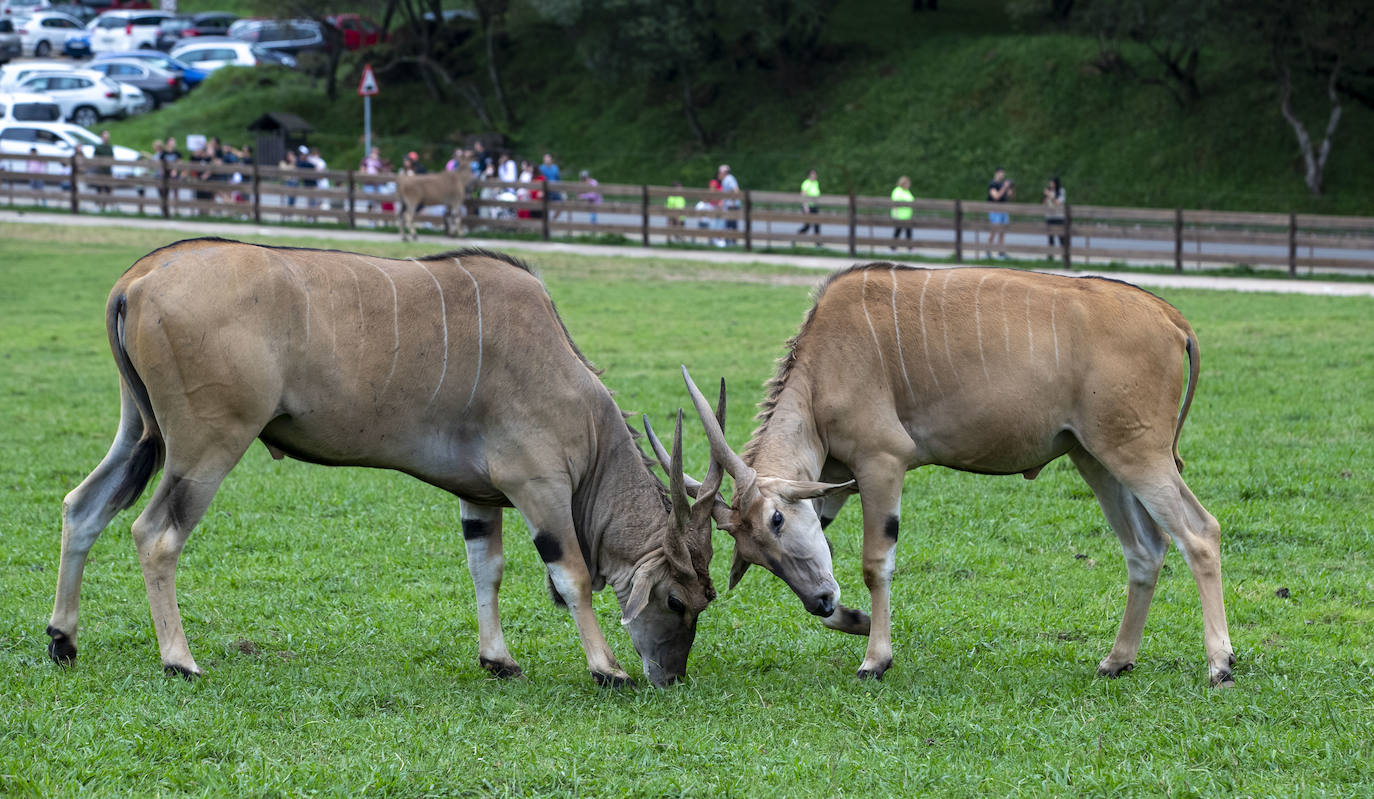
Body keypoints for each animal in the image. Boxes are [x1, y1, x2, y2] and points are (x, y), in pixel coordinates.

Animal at [44, 237, 714, 689]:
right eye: (679, 602)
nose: (670, 676)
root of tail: (138, 278)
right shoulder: (538, 484)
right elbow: (570, 573)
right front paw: (607, 669)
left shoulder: (480, 496)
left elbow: (486, 569)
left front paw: (498, 659)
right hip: (205, 447)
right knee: (154, 533)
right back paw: (179, 661)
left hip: (141, 433)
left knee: (82, 507)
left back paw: (63, 640)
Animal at [681, 264, 1242, 689]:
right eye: (753, 555)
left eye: (776, 520)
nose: (820, 602)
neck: (823, 368)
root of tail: (1169, 316)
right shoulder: (834, 478)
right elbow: (831, 557)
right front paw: (853, 620)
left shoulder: (881, 463)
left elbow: (874, 563)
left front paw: (874, 658)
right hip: (1095, 458)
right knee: (1145, 548)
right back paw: (1117, 659)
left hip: (1138, 452)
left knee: (1200, 532)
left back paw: (1220, 664)